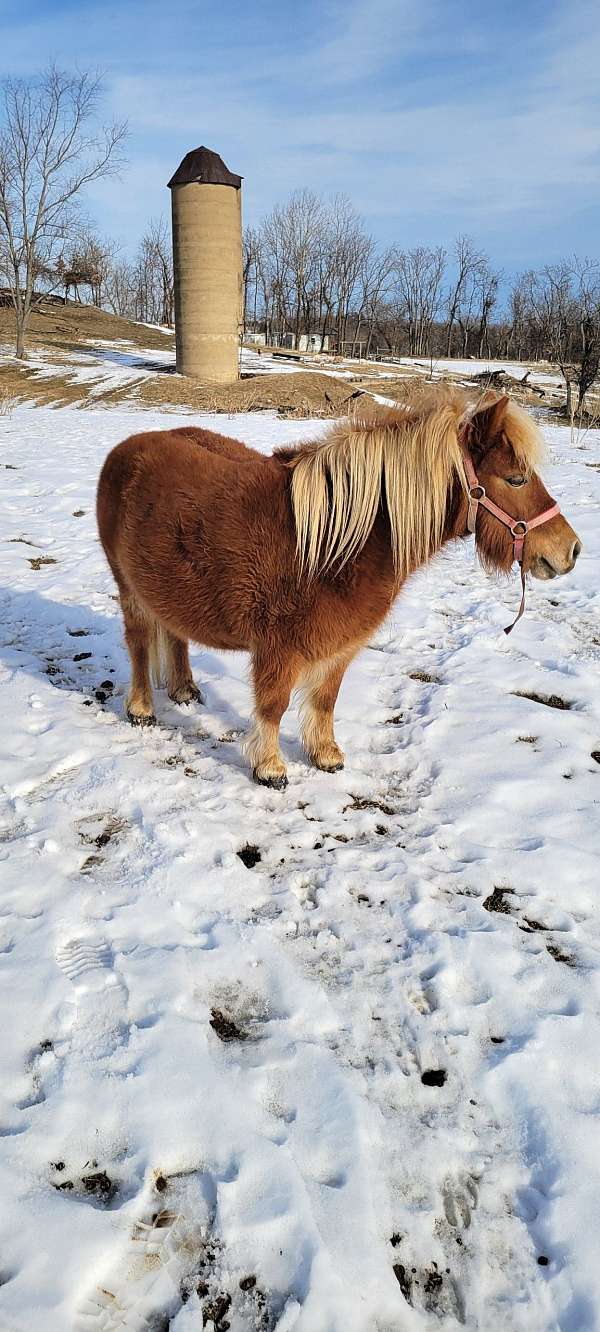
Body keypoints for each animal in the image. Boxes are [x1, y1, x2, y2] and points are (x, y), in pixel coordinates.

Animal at [96, 388, 581, 789]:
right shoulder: (278, 647)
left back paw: (184, 691)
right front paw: (270, 767)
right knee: (139, 642)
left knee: (173, 631)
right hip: (129, 589)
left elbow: (326, 699)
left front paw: (325, 754)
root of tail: (127, 448)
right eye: (516, 479)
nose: (571, 550)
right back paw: (141, 708)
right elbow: (273, 705)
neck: (333, 544)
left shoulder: (339, 645)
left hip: (167, 586)